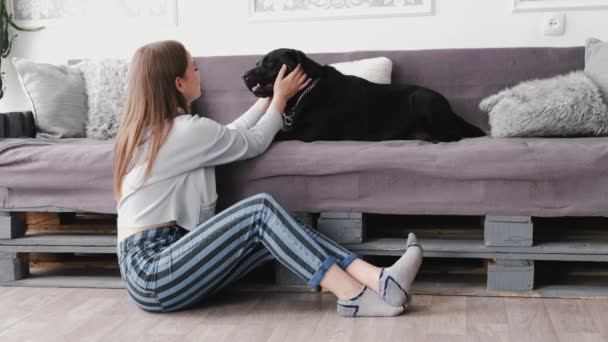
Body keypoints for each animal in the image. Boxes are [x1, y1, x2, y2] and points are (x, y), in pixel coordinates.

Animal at [242, 48, 484, 142]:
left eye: (269, 63)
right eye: (257, 62)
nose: (243, 75)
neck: (306, 91)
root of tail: (451, 110)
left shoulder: (308, 133)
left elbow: (277, 135)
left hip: (423, 99)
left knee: (453, 135)